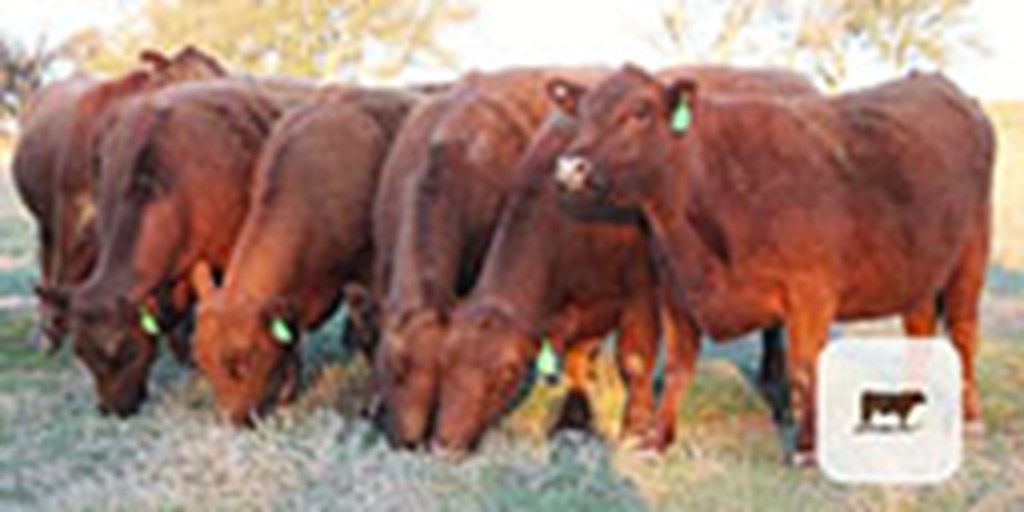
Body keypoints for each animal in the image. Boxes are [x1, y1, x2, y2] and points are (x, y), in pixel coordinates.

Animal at [432, 67, 823, 452]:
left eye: (508, 373)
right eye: (444, 362)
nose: (444, 444)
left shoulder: (643, 289)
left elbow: (633, 359)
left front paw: (636, 427)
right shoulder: (584, 302)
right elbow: (576, 363)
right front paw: (572, 422)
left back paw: (779, 395)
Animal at [552, 65, 991, 464]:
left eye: (639, 112)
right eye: (583, 112)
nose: (569, 167)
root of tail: (936, 81)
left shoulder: (810, 294)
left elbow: (804, 370)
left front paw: (807, 449)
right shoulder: (677, 292)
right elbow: (677, 368)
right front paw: (658, 441)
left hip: (970, 257)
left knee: (964, 333)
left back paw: (970, 418)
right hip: (919, 269)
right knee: (919, 330)